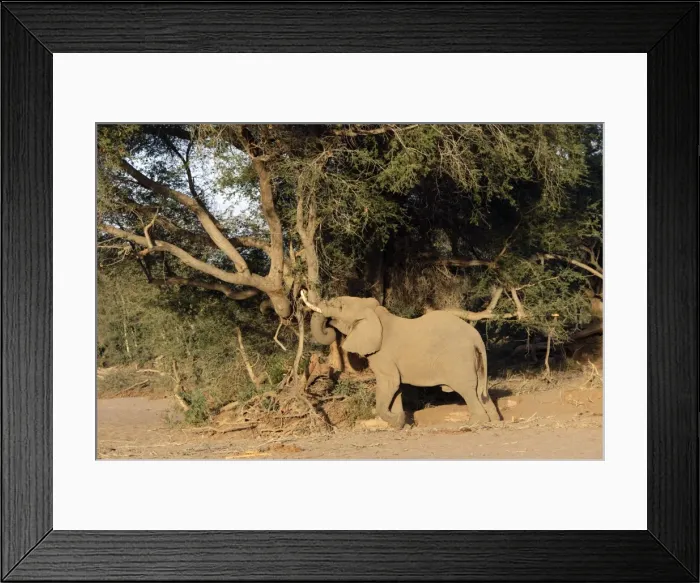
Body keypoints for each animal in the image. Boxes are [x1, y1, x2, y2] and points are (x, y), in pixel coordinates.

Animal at [302, 292, 501, 428]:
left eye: (340, 307)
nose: (329, 326)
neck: (377, 314)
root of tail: (476, 337)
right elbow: (396, 388)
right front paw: (401, 424)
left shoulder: (383, 355)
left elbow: (389, 383)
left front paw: (397, 421)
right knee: (480, 391)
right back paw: (494, 421)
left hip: (458, 359)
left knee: (467, 390)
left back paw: (474, 423)